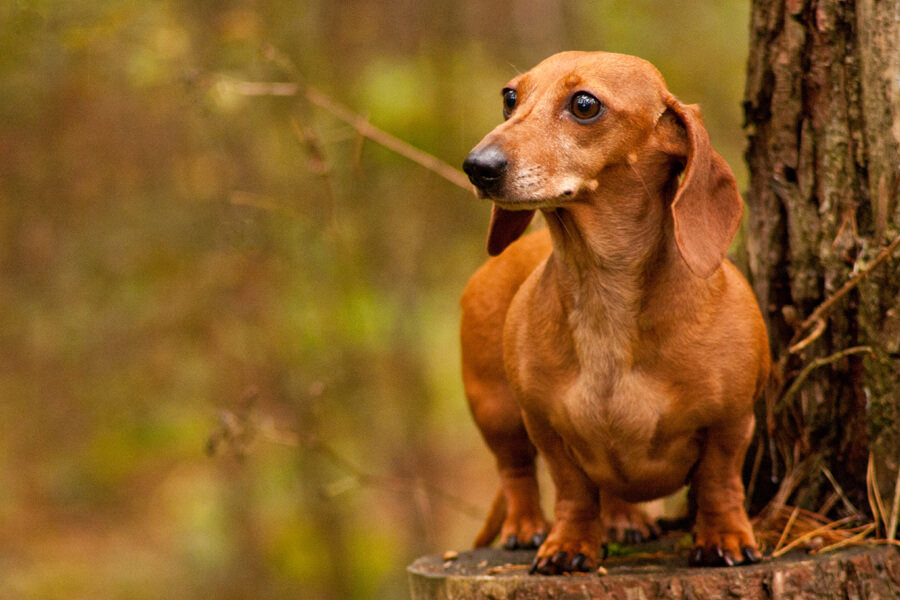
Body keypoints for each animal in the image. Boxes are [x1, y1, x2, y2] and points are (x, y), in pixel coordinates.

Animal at [460, 51, 768, 572]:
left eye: (585, 104)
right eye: (510, 97)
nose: (477, 166)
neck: (603, 289)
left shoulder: (731, 422)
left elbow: (718, 482)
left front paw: (724, 537)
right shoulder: (545, 428)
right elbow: (572, 490)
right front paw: (567, 545)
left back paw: (627, 519)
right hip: (496, 410)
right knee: (515, 471)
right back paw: (525, 527)